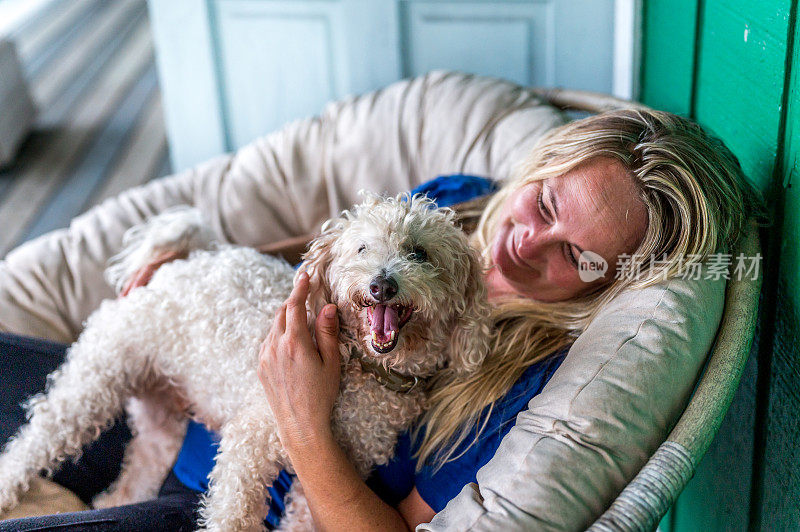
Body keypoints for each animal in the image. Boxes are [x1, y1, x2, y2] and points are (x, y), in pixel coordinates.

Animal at [0, 193, 490, 528]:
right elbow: (231, 513)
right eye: (362, 249)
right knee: (30, 446)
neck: (364, 369)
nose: (381, 285)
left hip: (159, 427)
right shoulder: (250, 442)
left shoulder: (323, 478)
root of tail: (174, 264)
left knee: (131, 480)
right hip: (93, 385)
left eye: (419, 253)